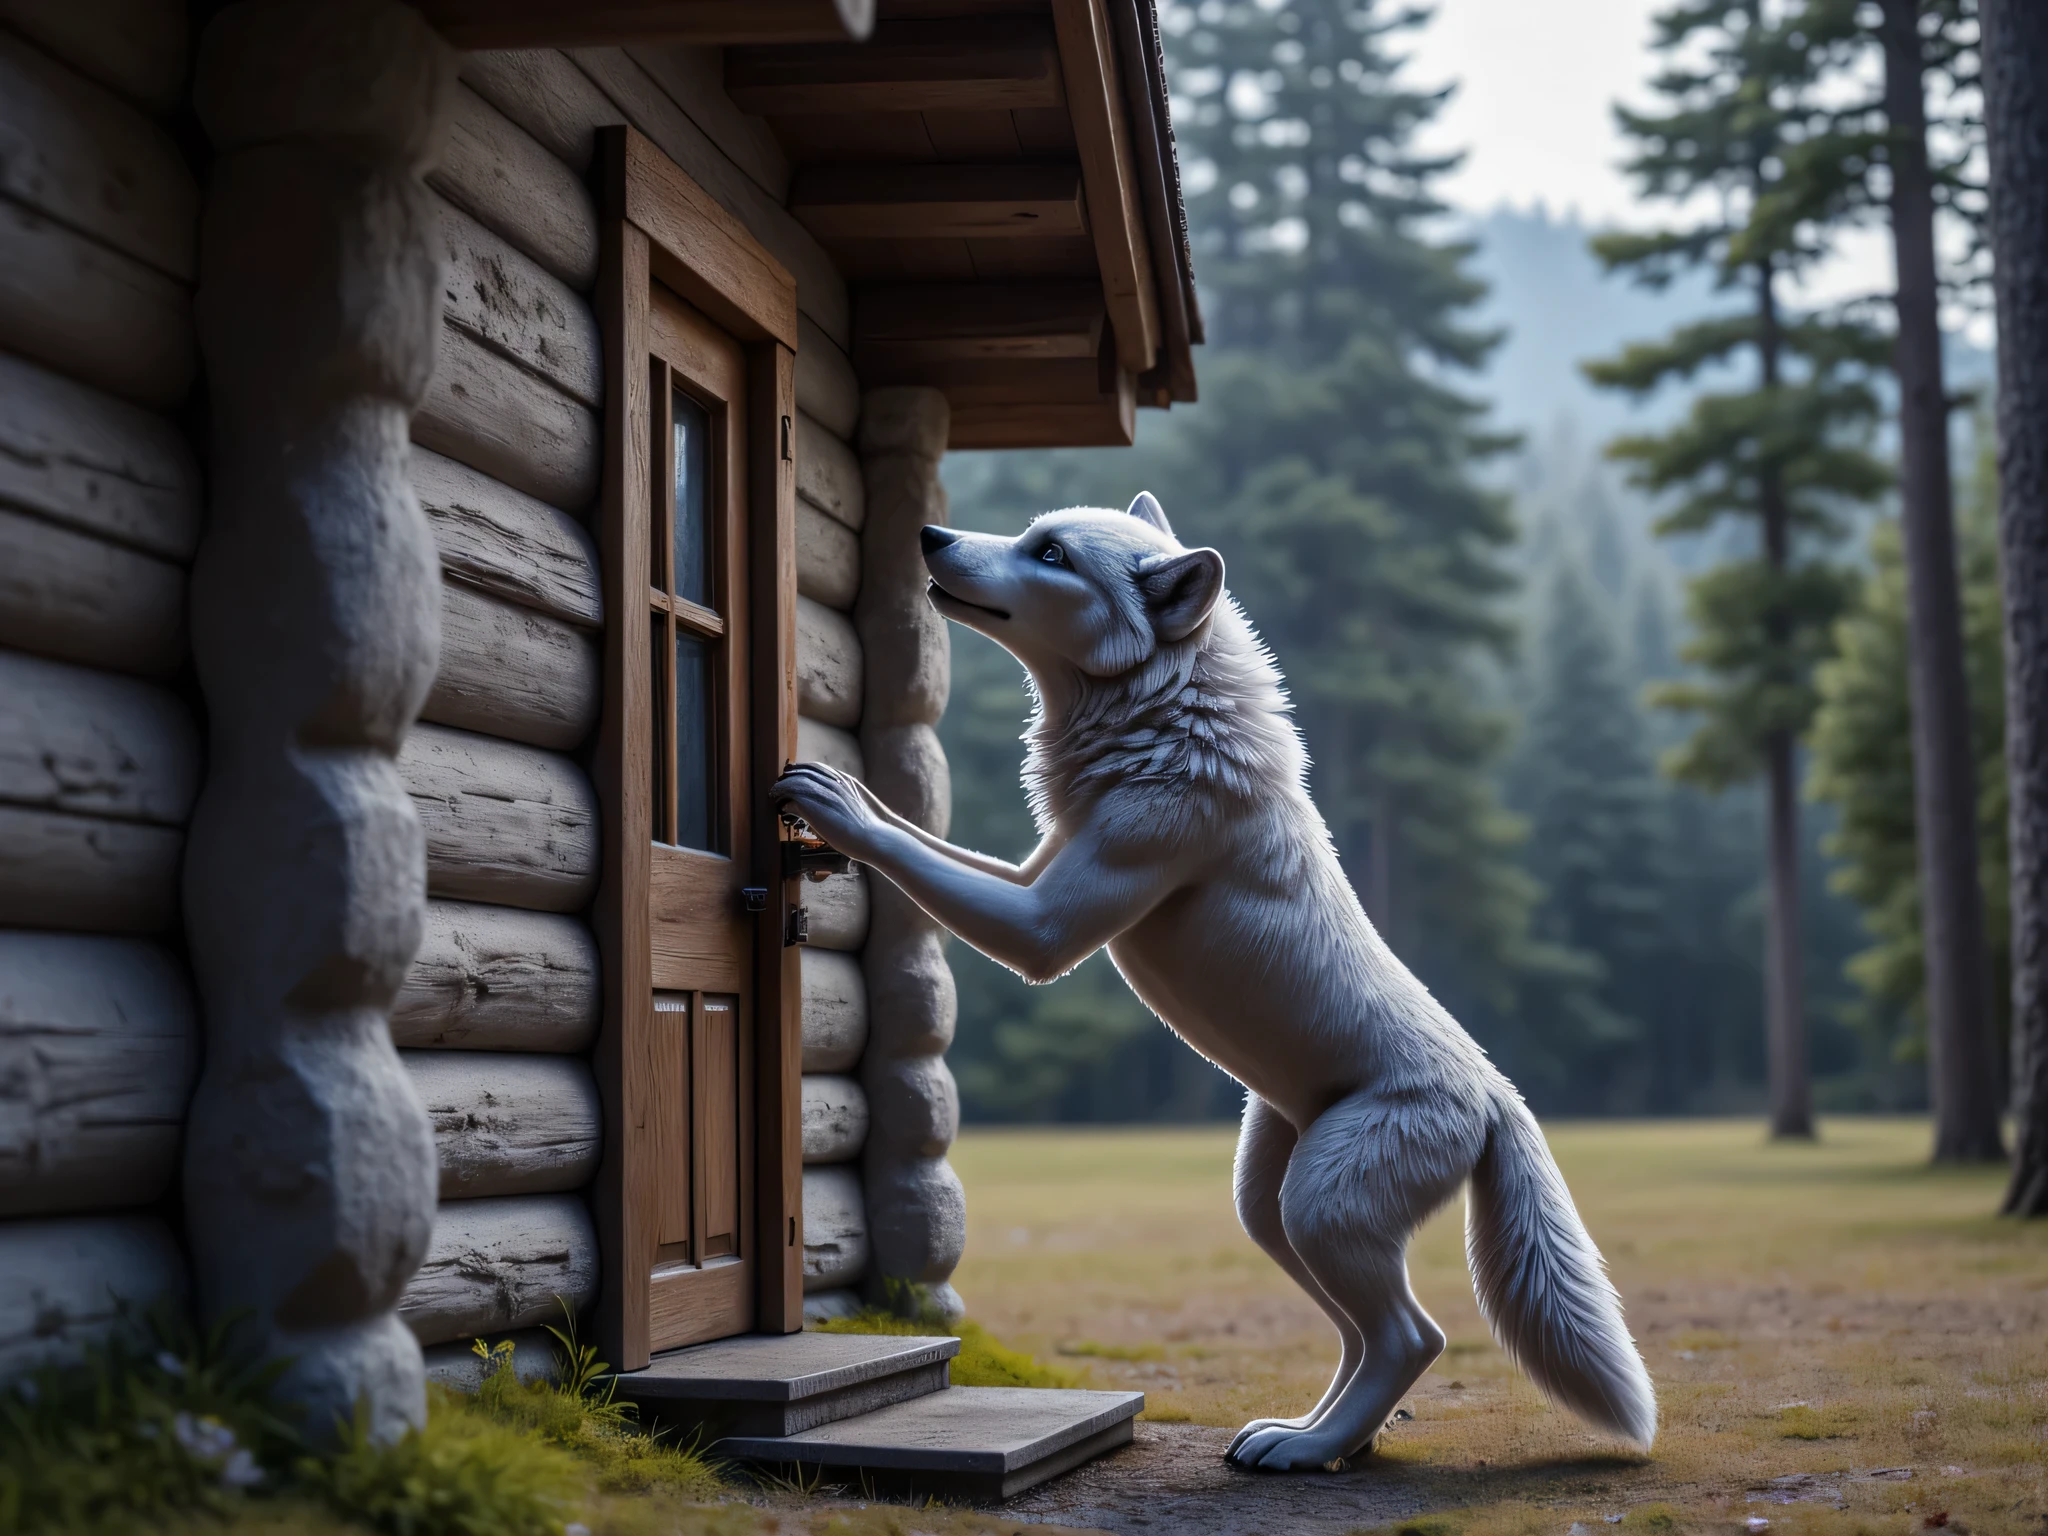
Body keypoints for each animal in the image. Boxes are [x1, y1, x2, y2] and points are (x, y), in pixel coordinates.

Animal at [772, 493, 1657, 1471]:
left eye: (1052, 554)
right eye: (1032, 534)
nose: (931, 537)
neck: (1164, 718)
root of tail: (1500, 1094)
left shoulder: (1047, 926)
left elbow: (912, 854)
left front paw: (835, 805)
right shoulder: (1036, 872)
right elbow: (926, 841)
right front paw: (851, 793)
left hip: (1319, 1205)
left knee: (1411, 1334)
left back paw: (1310, 1450)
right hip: (1269, 1205)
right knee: (1359, 1333)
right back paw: (1312, 1439)